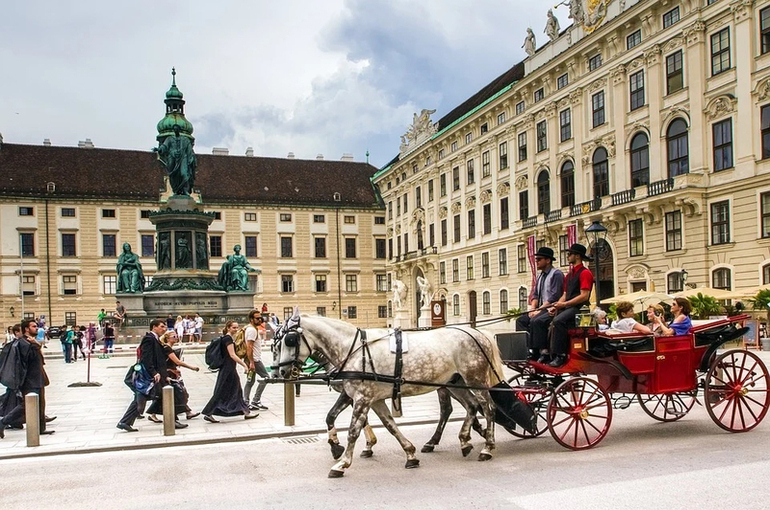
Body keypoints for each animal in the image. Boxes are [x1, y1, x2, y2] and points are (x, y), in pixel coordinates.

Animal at [272, 310, 500, 478]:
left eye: (289, 340)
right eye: (275, 345)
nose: (280, 372)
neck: (353, 350)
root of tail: (478, 333)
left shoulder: (362, 397)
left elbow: (353, 430)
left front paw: (342, 462)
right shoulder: (373, 399)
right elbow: (389, 425)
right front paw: (409, 453)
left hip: (475, 379)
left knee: (487, 408)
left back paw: (487, 447)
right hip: (455, 382)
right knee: (470, 406)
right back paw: (463, 440)